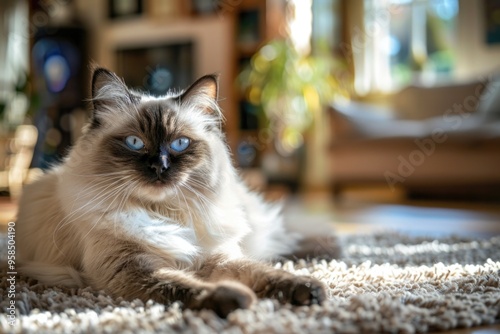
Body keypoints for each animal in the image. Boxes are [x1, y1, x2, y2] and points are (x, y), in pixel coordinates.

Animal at [15, 67, 328, 316]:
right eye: (134, 143)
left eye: (179, 144)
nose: (160, 166)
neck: (165, 215)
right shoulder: (131, 267)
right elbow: (181, 285)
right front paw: (236, 299)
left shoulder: (217, 258)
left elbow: (262, 272)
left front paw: (308, 289)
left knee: (283, 240)